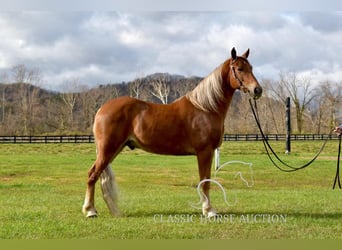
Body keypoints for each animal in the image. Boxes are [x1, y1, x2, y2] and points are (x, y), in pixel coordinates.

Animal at [82, 47, 262, 218]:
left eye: (251, 67)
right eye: (239, 69)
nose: (257, 90)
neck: (206, 108)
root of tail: (102, 109)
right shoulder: (205, 152)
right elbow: (205, 181)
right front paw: (209, 211)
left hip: (114, 150)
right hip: (107, 150)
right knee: (92, 175)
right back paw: (90, 211)